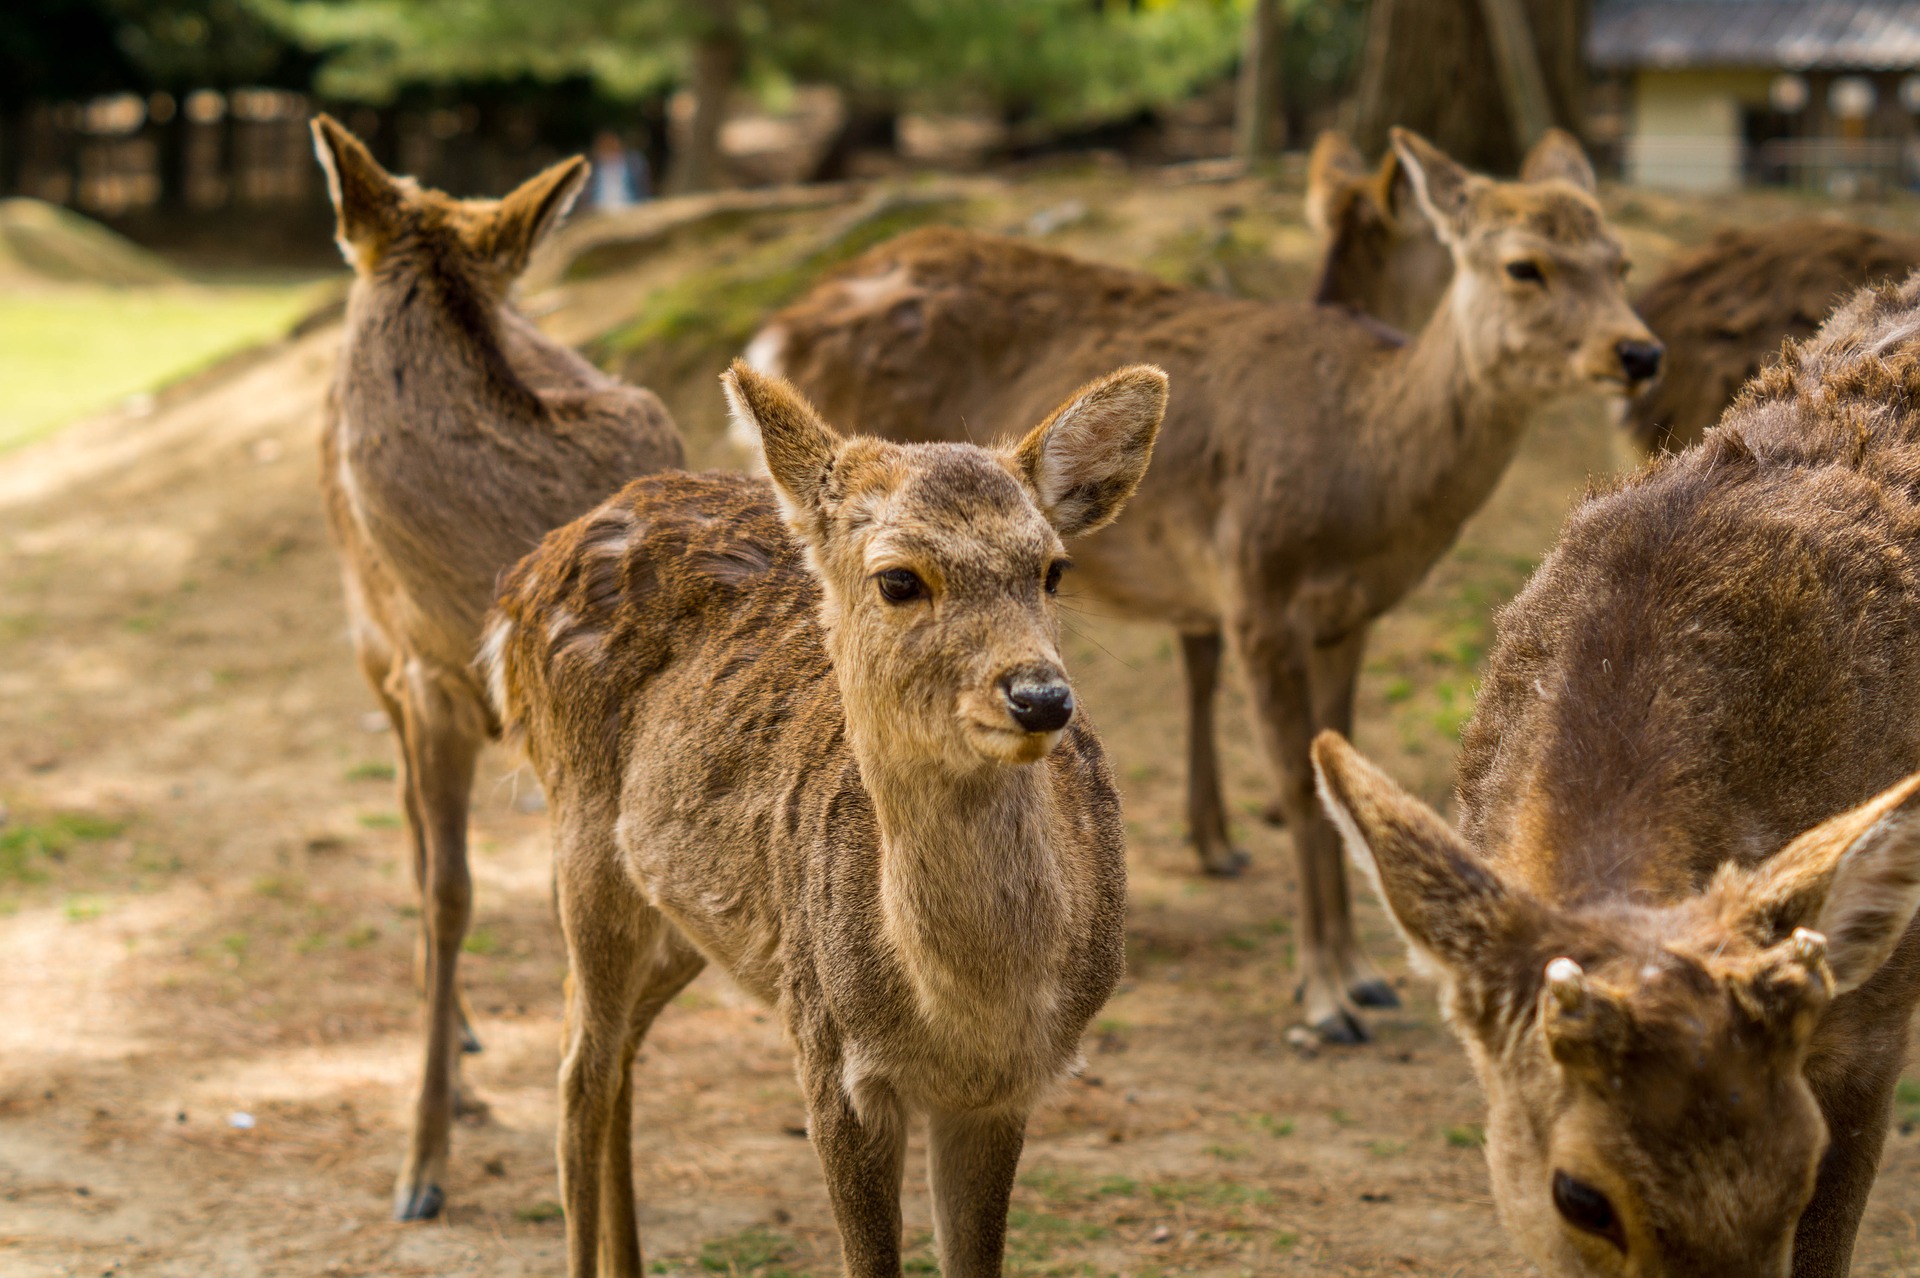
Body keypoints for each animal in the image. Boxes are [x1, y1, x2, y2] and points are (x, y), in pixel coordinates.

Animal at [487, 358, 1159, 1274]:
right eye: (898, 578)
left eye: (1053, 569)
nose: (1041, 697)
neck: (968, 1016)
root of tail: (523, 579)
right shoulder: (830, 1058)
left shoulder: (1008, 1088)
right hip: (580, 835)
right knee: (578, 1069)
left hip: (697, 917)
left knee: (609, 1040)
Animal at [733, 126, 1666, 1036]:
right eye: (1524, 265)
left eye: (1620, 260)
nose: (1640, 351)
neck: (1369, 478)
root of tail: (778, 327)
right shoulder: (1256, 587)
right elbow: (1293, 781)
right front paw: (1328, 995)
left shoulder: (1351, 613)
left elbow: (1332, 758)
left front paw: (1356, 972)